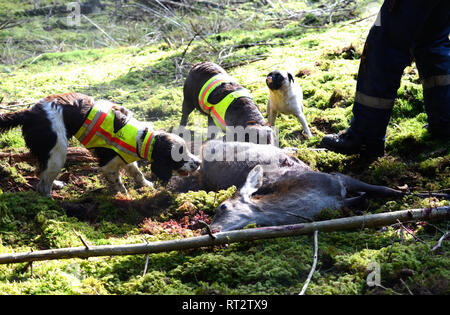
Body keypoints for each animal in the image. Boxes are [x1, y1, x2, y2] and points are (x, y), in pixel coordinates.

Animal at [0, 92, 200, 198]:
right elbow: (119, 183)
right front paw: (125, 196)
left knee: (41, 172)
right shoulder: (108, 165)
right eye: (180, 154)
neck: (141, 138)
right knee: (42, 185)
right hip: (58, 150)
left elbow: (137, 172)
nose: (198, 163)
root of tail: (27, 112)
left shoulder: (125, 158)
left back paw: (56, 184)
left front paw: (147, 184)